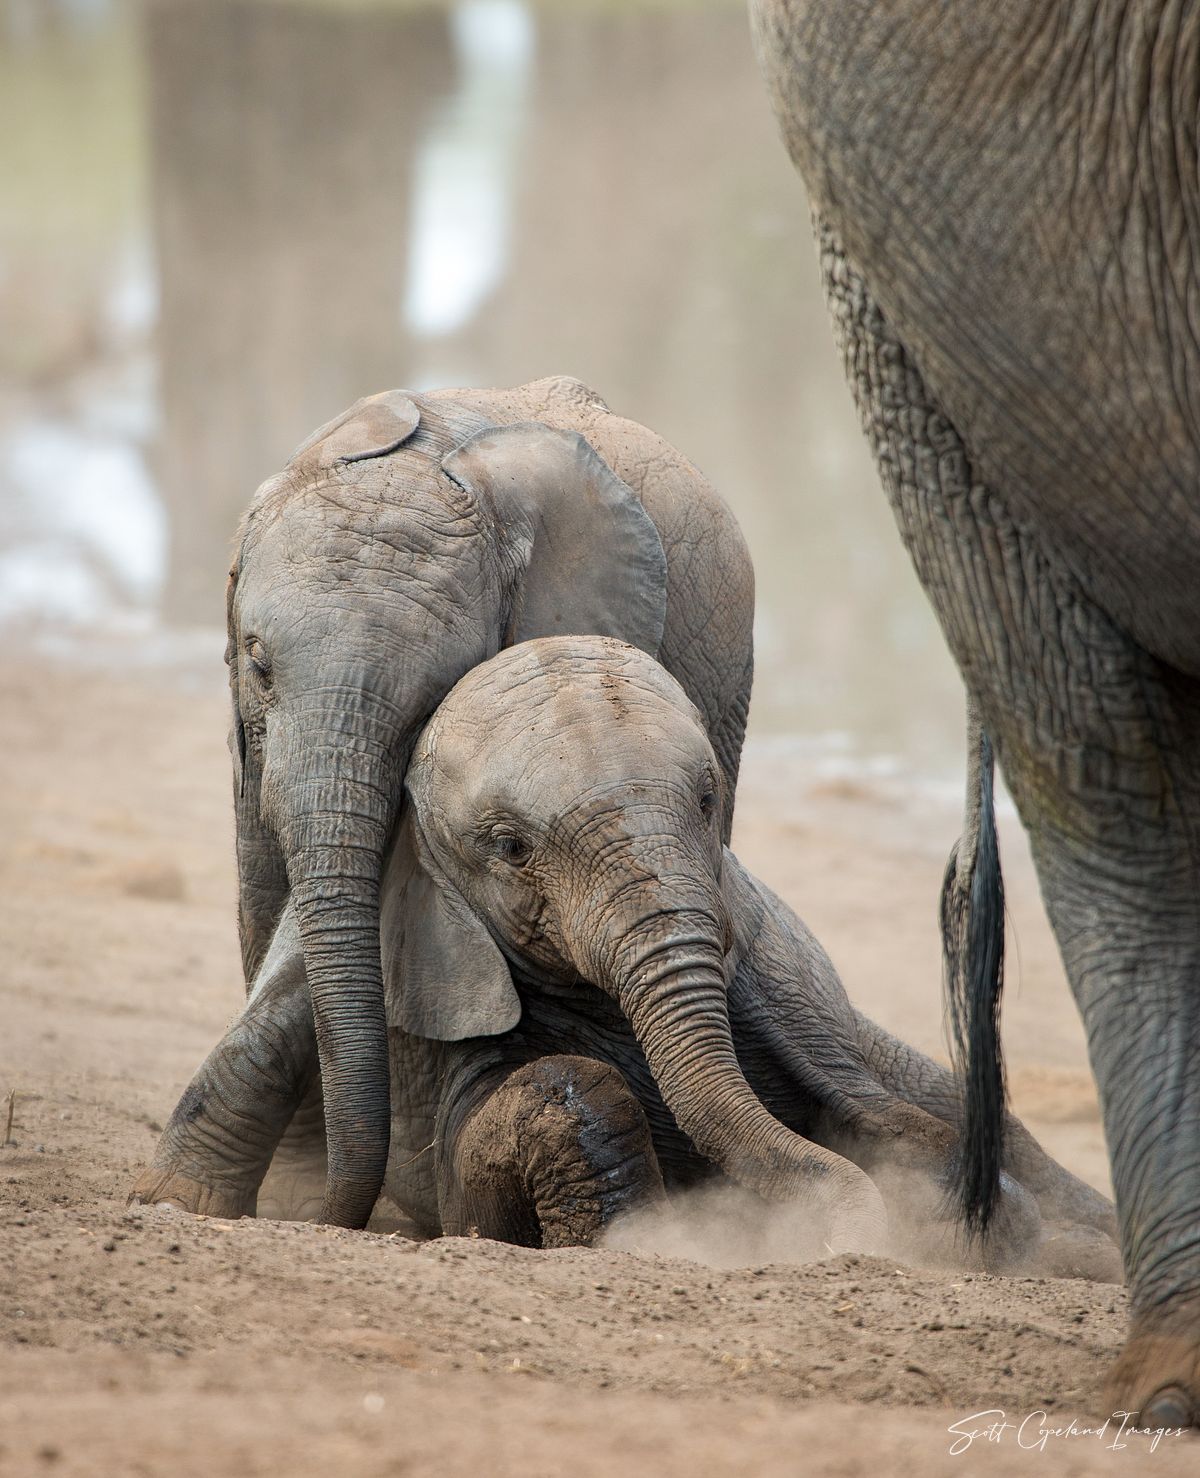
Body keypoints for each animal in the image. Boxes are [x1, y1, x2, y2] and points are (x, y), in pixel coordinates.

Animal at [131, 375, 754, 1232]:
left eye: (436, 695)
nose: (337, 1214)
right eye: (259, 664)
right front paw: (220, 1201)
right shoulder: (246, 729)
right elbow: (278, 896)